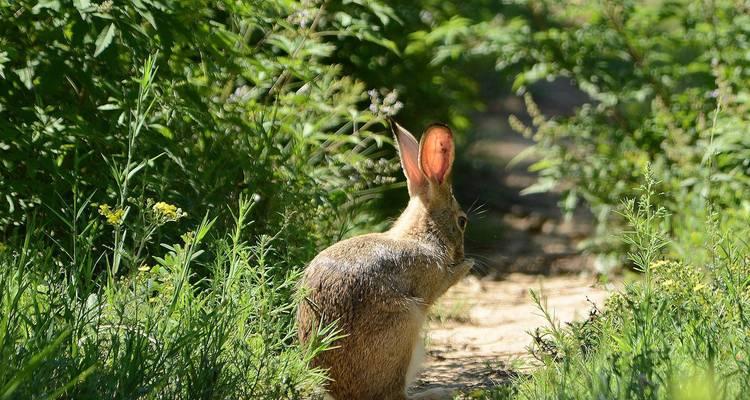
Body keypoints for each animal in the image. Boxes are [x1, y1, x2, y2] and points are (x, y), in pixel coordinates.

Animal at [296, 119, 472, 400]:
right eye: (462, 221)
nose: (462, 255)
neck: (422, 235)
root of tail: (345, 394)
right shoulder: (432, 279)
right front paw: (467, 266)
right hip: (405, 326)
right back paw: (441, 391)